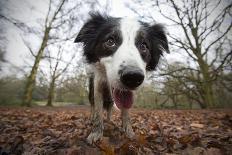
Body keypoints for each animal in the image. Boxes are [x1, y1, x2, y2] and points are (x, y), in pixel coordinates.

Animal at [74, 12, 169, 144]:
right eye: (110, 41)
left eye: (144, 46)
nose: (133, 77)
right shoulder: (98, 84)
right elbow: (98, 111)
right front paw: (96, 133)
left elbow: (126, 111)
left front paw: (128, 133)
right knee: (93, 105)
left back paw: (109, 121)